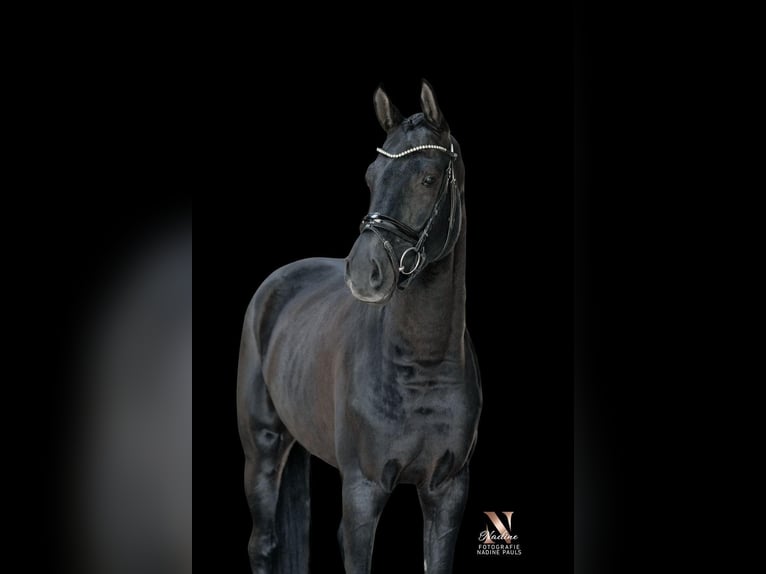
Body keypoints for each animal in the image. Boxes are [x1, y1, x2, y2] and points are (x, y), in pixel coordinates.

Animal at [237, 80, 482, 574]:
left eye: (429, 178)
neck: (422, 365)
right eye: (371, 176)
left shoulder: (447, 491)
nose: (365, 272)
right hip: (262, 450)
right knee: (263, 544)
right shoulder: (363, 489)